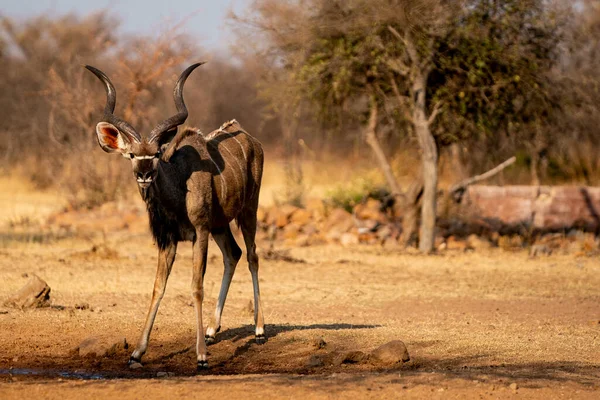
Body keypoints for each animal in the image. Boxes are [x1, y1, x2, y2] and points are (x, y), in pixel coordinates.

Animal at [84, 63, 264, 372]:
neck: (179, 187)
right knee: (234, 254)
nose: (144, 174)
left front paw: (201, 356)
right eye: (131, 155)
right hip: (221, 226)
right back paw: (212, 330)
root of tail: (253, 141)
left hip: (247, 210)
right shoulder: (168, 240)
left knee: (252, 255)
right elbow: (158, 287)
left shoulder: (200, 232)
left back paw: (259, 330)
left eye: (157, 153)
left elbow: (196, 287)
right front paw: (136, 353)